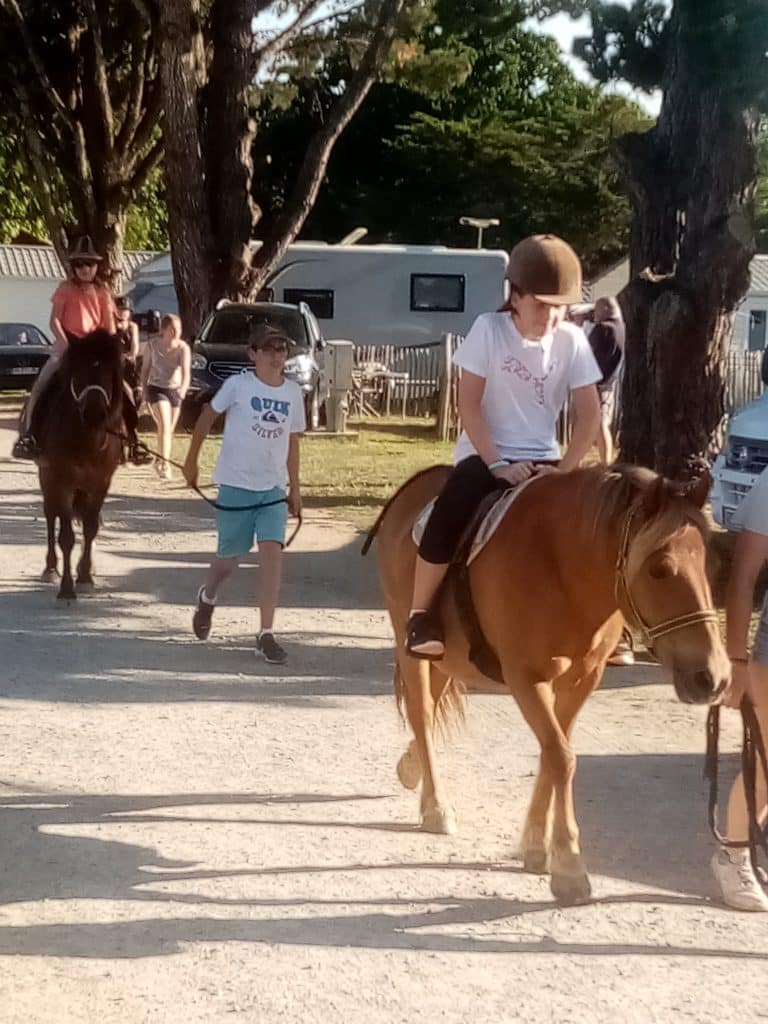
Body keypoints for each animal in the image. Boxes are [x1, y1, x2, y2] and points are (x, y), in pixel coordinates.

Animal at [36, 327, 124, 598]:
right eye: (79, 373)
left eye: (108, 372)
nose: (94, 413)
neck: (87, 439)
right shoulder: (62, 482)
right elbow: (66, 536)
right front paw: (66, 590)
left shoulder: (101, 483)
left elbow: (91, 526)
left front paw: (85, 575)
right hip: (47, 478)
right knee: (50, 514)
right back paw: (50, 568)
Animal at [366, 464, 733, 905]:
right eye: (659, 568)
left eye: (712, 565)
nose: (713, 676)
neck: (560, 564)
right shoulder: (526, 678)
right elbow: (560, 756)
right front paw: (569, 868)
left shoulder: (582, 679)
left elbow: (553, 752)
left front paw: (537, 848)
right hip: (410, 643)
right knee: (422, 713)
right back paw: (436, 807)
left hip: (445, 659)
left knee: (432, 709)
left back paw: (411, 769)